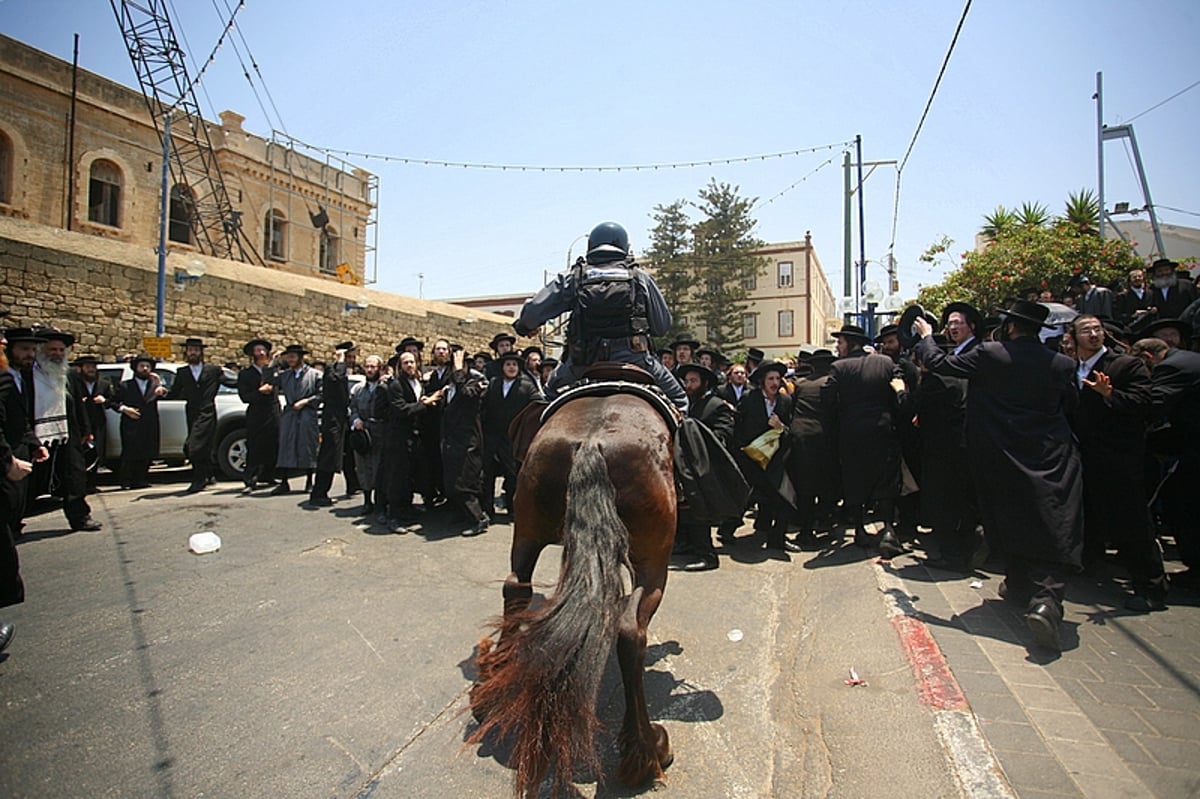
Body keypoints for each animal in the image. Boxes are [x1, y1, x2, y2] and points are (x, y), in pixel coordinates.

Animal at [468, 388, 676, 791]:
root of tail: (592, 442)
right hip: (653, 560)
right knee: (631, 632)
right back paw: (646, 750)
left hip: (527, 525)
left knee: (515, 587)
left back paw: (492, 685)